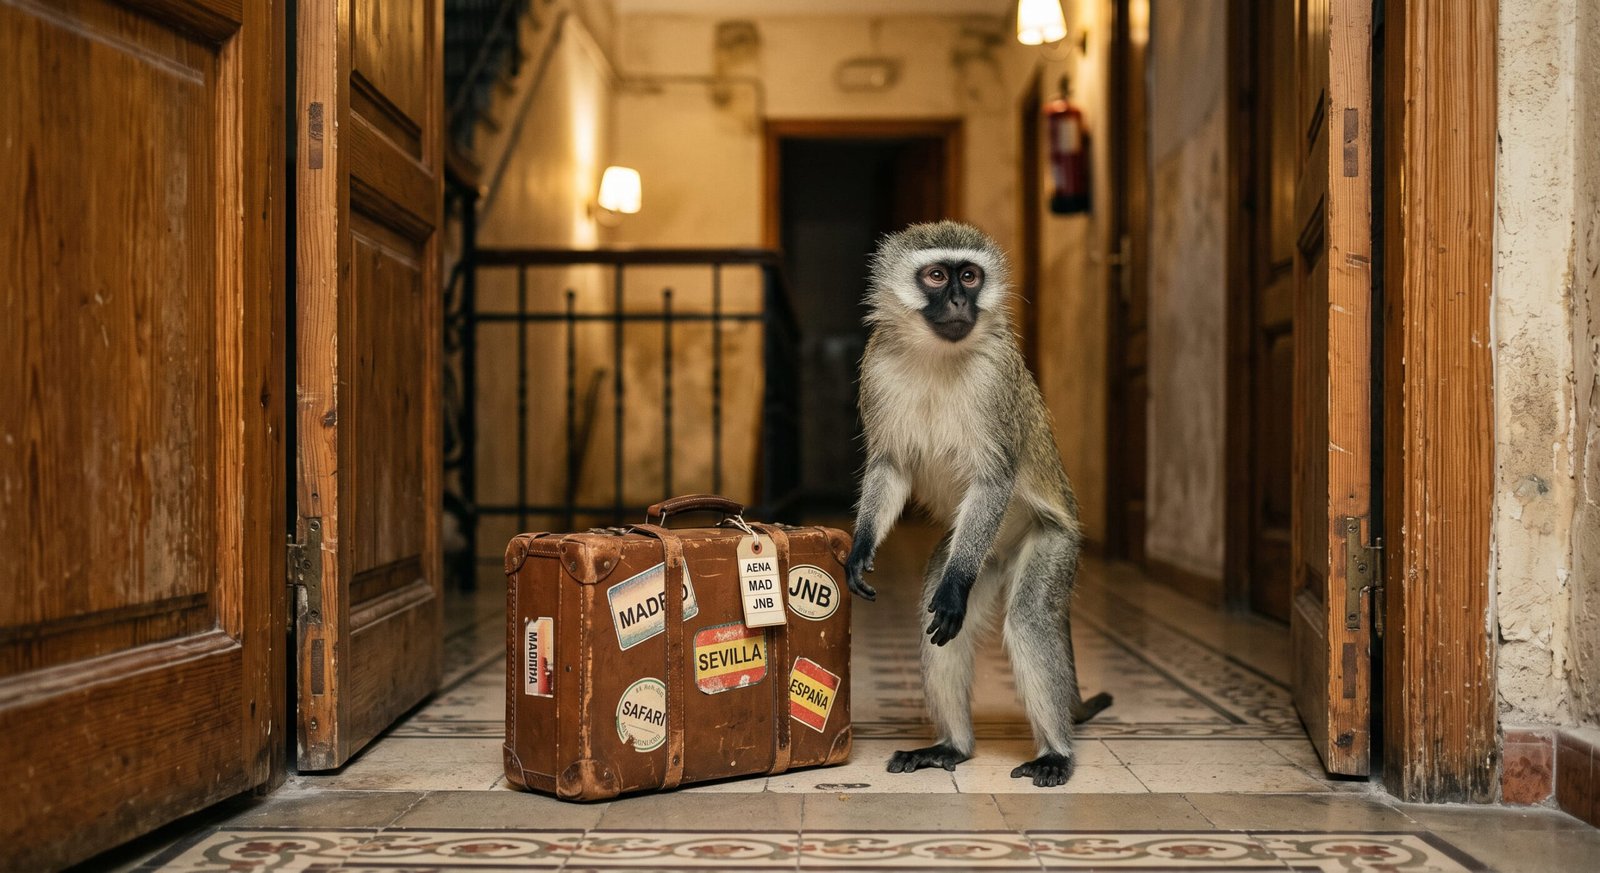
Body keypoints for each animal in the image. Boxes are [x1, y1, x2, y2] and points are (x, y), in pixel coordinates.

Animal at [845, 221, 1112, 787]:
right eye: (937, 275)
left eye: (969, 276)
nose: (957, 301)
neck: (935, 354)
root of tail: (1003, 552)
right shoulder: (876, 365)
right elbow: (891, 468)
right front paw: (859, 550)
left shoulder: (996, 379)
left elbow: (993, 480)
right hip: (987, 555)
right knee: (946, 621)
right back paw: (951, 746)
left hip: (1047, 543)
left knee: (1028, 617)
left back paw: (1055, 753)